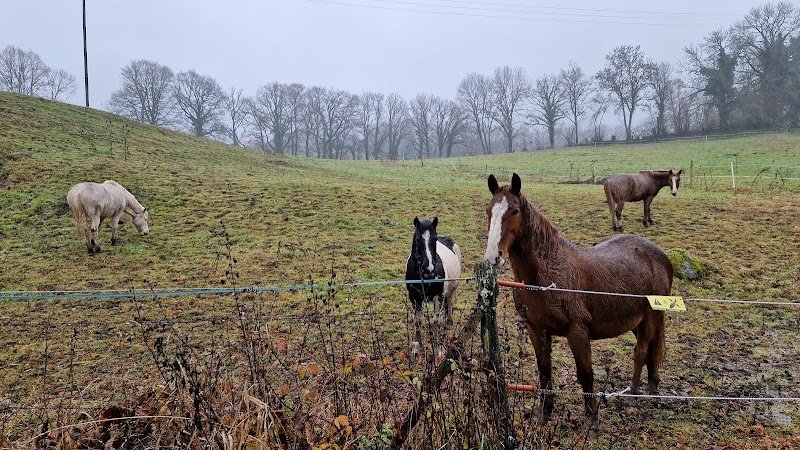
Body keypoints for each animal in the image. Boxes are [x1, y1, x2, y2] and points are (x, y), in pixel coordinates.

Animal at [406, 217, 462, 357]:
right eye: (417, 239)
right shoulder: (414, 298)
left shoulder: (438, 297)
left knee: (449, 307)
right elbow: (418, 321)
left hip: (452, 290)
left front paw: (438, 348)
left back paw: (448, 326)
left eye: (435, 239)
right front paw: (417, 345)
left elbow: (437, 322)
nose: (429, 269)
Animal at [484, 173, 672, 422]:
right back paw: (652, 385)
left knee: (641, 351)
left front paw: (591, 419)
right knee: (650, 350)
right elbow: (544, 372)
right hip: (636, 321)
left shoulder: (578, 333)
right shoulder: (537, 330)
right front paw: (545, 412)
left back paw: (633, 393)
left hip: (651, 316)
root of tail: (660, 255)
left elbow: (585, 375)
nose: (493, 256)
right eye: (489, 210)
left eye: (514, 211)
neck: (548, 276)